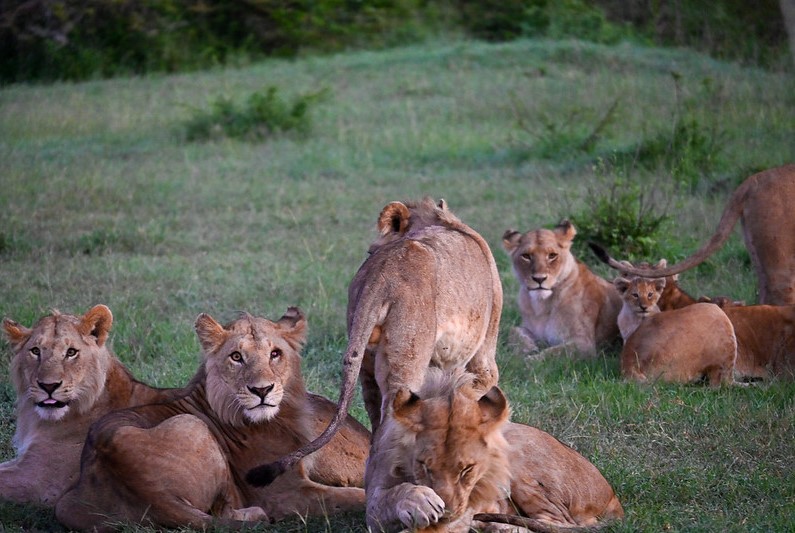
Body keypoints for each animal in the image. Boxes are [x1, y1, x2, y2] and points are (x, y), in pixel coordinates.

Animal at [56, 307, 370, 531]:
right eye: (236, 357)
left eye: (275, 354)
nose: (262, 390)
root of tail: (148, 490)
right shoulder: (285, 493)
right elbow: (355, 496)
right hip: (193, 426)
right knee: (221, 515)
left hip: (66, 506)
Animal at [247, 198, 502, 486]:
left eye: (369, 249)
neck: (438, 220)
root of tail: (382, 276)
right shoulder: (483, 362)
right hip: (407, 360)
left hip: (367, 365)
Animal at [365, 369, 623, 533]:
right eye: (424, 466)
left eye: (467, 470)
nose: (447, 512)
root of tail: (612, 496)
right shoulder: (374, 500)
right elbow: (385, 500)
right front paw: (418, 501)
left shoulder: (467, 506)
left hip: (518, 452)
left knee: (559, 523)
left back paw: (502, 527)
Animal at [502, 220, 622, 358]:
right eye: (526, 256)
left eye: (552, 255)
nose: (539, 279)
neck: (541, 306)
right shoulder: (528, 328)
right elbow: (513, 331)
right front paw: (527, 348)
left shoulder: (585, 344)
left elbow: (553, 353)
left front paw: (531, 359)